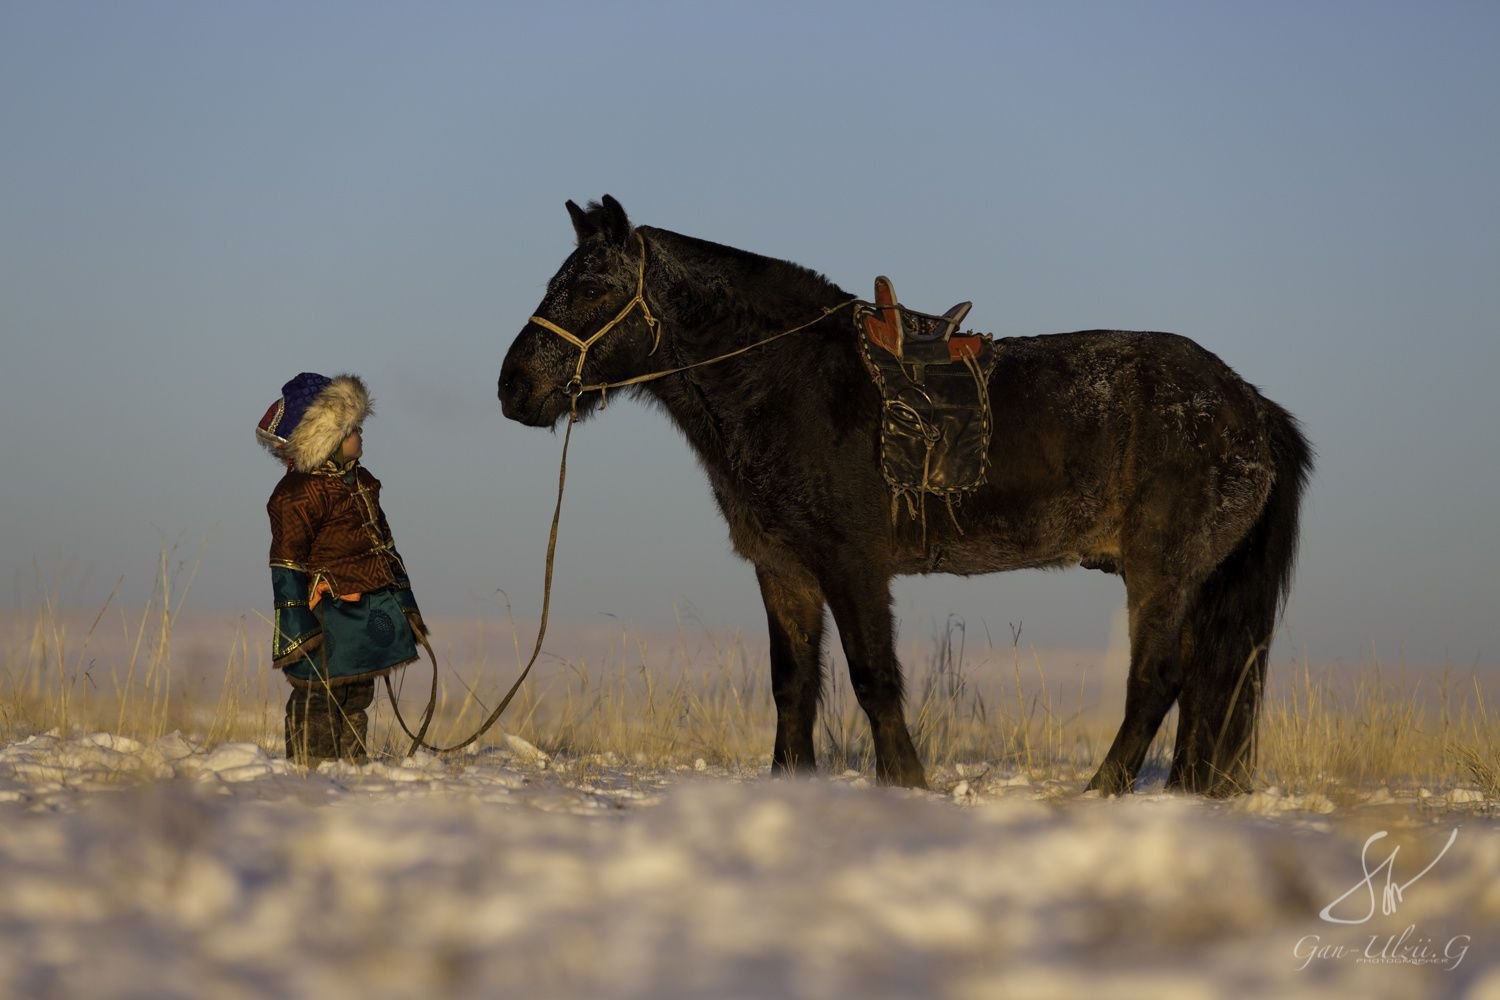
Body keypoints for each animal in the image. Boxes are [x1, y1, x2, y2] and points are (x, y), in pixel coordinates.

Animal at [498, 194, 1308, 797]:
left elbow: (872, 678)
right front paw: (791, 783)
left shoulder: (852, 565)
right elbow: (793, 683)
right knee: (1205, 685)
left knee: (1157, 681)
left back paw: (1100, 790)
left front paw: (906, 783)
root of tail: (1250, 407)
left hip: (1162, 575)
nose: (513, 389)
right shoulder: (784, 569)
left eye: (593, 286)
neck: (788, 382)